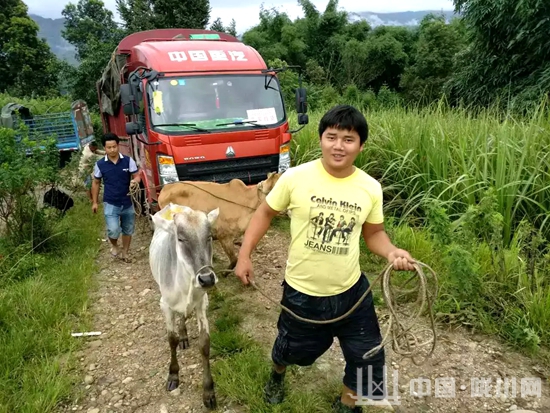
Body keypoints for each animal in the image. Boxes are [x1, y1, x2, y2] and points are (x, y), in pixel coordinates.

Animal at [149, 202, 220, 409]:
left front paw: (208, 391)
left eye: (210, 236)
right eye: (180, 239)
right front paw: (173, 374)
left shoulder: (202, 303)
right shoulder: (164, 305)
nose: (207, 278)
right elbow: (171, 339)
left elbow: (204, 344)